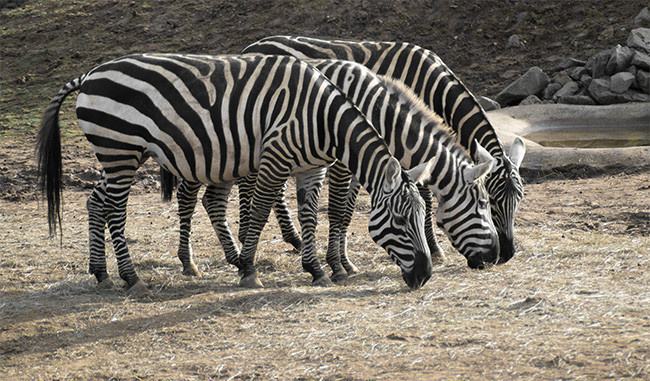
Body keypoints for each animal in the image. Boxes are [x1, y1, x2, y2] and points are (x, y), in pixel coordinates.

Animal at [35, 53, 432, 290]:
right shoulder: (275, 158)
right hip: (120, 151)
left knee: (95, 202)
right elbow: (258, 213)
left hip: (118, 155)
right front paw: (249, 270)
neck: (322, 119)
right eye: (400, 221)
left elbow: (310, 216)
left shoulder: (311, 168)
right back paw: (131, 278)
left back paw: (101, 272)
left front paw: (316, 269)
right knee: (115, 210)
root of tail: (89, 74)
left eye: (421, 215)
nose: (425, 276)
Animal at [171, 58, 496, 280]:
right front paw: (336, 265)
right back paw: (189, 262)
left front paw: (344, 262)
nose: (498, 257)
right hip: (206, 154)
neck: (377, 113)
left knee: (214, 199)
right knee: (188, 196)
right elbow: (338, 211)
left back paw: (244, 252)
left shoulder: (361, 168)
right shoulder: (341, 164)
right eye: (484, 205)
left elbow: (348, 213)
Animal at [243, 35, 528, 264]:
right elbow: (424, 197)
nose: (507, 254)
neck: (433, 86)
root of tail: (252, 45)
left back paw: (292, 239)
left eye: (519, 200)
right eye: (492, 201)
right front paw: (435, 249)